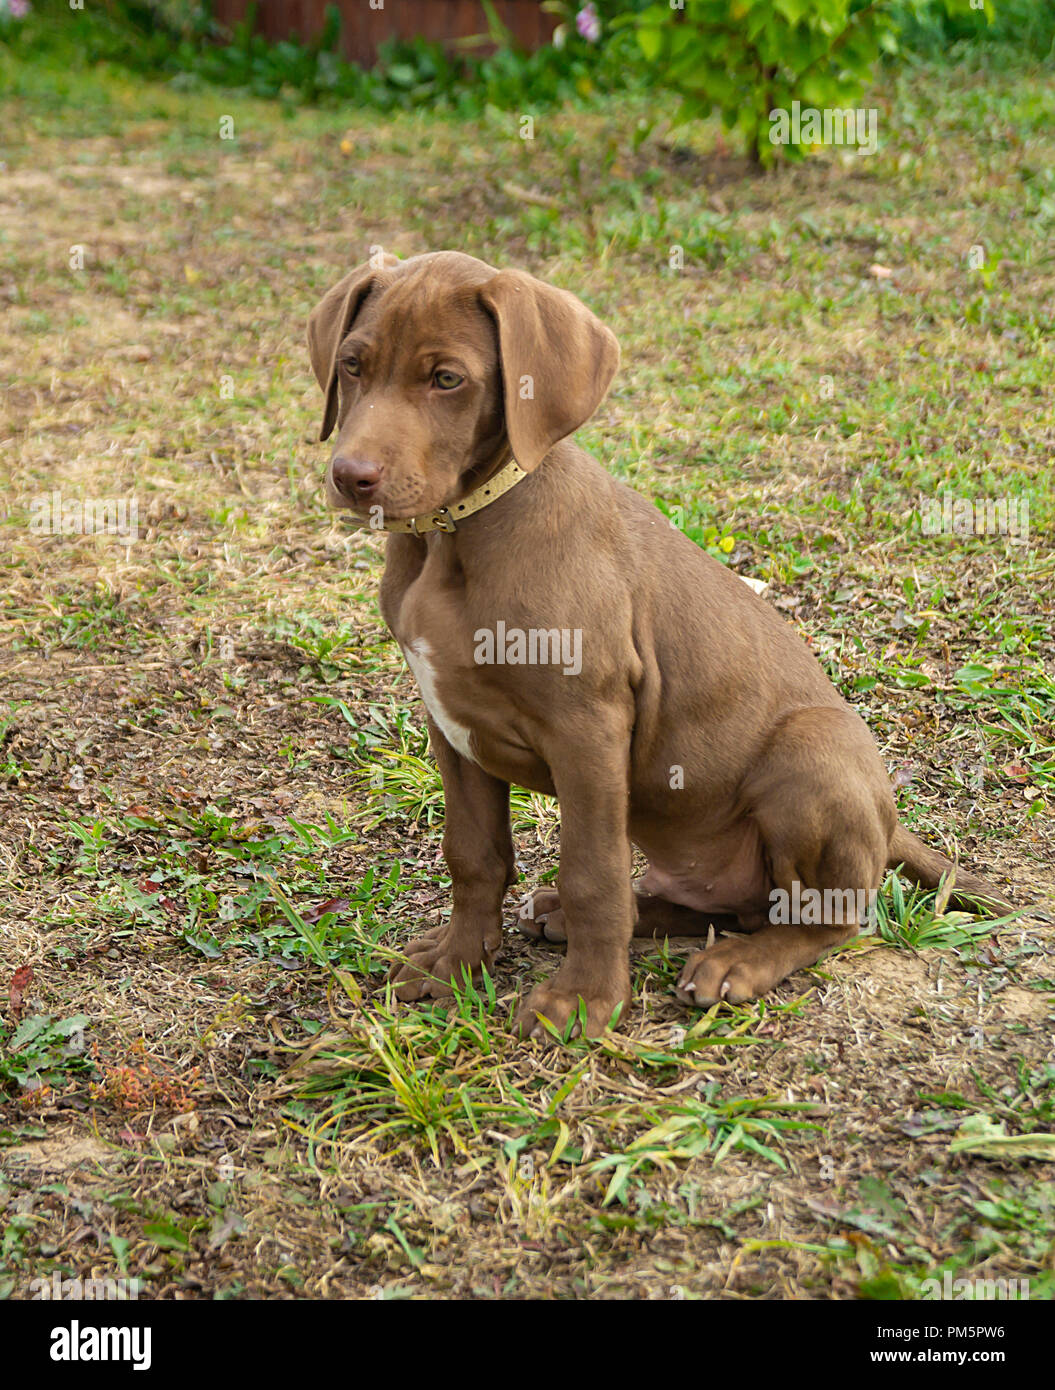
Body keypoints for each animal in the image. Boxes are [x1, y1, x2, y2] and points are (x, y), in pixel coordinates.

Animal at [307, 250, 1017, 1039]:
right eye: (352, 365)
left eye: (447, 379)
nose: (350, 477)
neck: (454, 536)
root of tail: (888, 824)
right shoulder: (451, 727)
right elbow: (474, 854)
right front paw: (457, 962)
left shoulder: (587, 727)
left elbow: (591, 873)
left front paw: (582, 1000)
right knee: (718, 904)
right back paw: (579, 918)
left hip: (810, 760)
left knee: (826, 917)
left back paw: (738, 963)